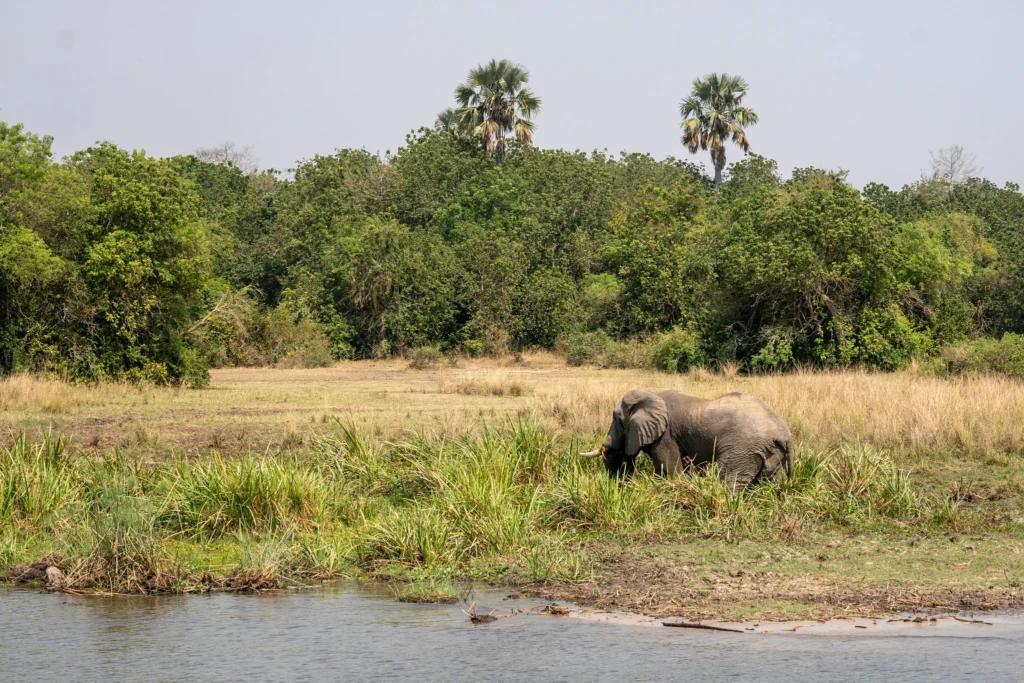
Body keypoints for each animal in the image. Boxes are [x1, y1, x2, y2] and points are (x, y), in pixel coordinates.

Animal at [580, 389, 792, 489]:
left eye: (616, 418)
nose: (618, 487)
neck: (652, 393)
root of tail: (783, 433)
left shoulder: (665, 436)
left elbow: (668, 468)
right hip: (773, 453)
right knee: (772, 483)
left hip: (743, 449)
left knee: (728, 481)